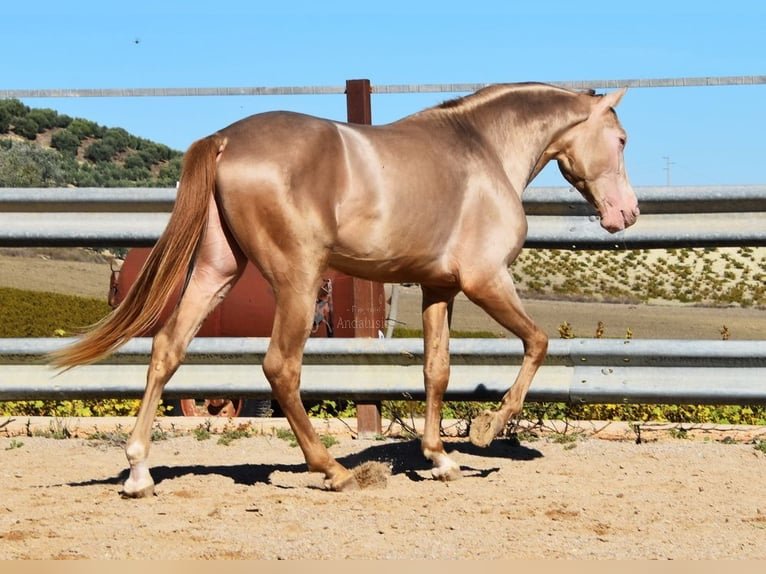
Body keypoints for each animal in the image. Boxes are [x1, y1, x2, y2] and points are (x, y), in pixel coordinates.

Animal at [49, 83, 640, 498]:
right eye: (621, 140)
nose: (628, 214)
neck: (483, 153)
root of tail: (225, 140)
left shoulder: (438, 289)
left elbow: (436, 371)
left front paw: (440, 459)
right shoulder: (485, 279)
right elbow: (538, 342)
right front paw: (484, 430)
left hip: (217, 271)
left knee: (167, 350)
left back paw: (138, 472)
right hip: (297, 280)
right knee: (279, 367)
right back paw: (332, 470)